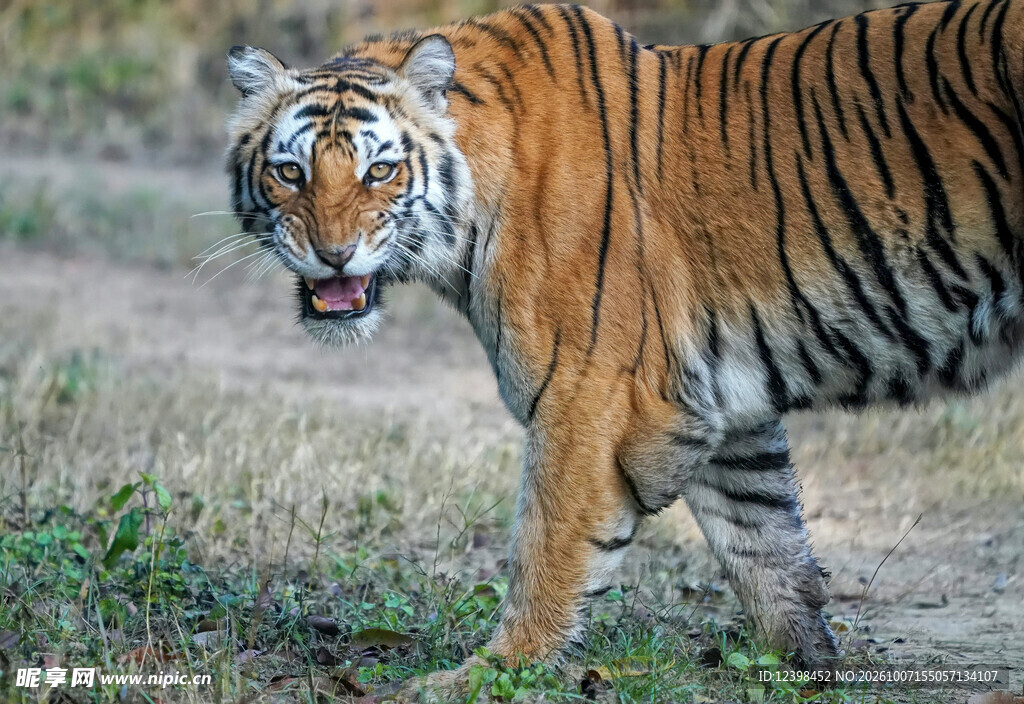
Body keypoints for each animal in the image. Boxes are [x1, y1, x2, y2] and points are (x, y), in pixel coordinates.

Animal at [225, 0, 1024, 694]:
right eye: (290, 171)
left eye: (380, 171)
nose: (333, 254)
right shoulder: (718, 401)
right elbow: (765, 539)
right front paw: (806, 668)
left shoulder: (592, 393)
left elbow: (547, 547)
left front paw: (489, 674)